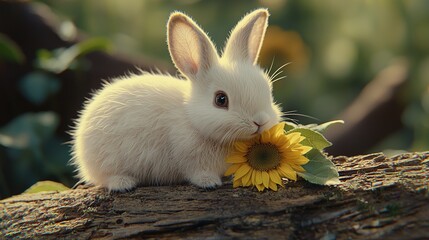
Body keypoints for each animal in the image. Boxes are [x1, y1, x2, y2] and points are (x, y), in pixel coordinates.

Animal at [72, 8, 282, 191]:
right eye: (221, 99)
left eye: (268, 89)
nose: (260, 122)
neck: (191, 119)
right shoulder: (192, 160)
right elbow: (199, 173)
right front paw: (210, 182)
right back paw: (123, 184)